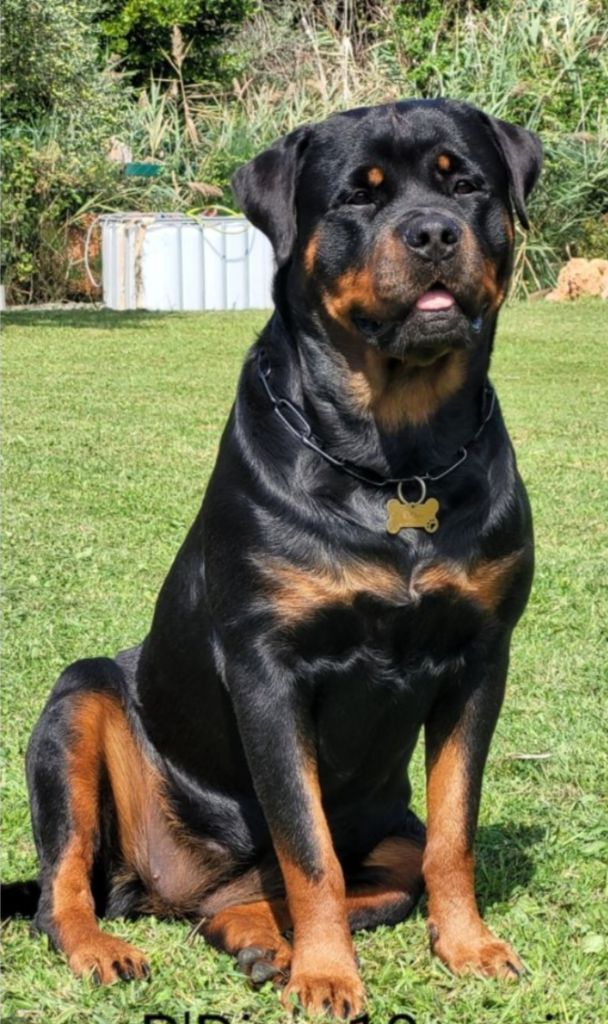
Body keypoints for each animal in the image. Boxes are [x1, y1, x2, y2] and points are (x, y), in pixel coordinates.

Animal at [4, 98, 541, 1018]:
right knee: (63, 883)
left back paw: (255, 936)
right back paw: (106, 948)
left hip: (384, 834)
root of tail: (172, 886)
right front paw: (325, 975)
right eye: (358, 196)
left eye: (465, 183)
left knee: (322, 884)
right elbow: (306, 845)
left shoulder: (482, 658)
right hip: (76, 705)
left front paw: (467, 946)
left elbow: (454, 830)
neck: (397, 459)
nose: (433, 232)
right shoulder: (269, 669)